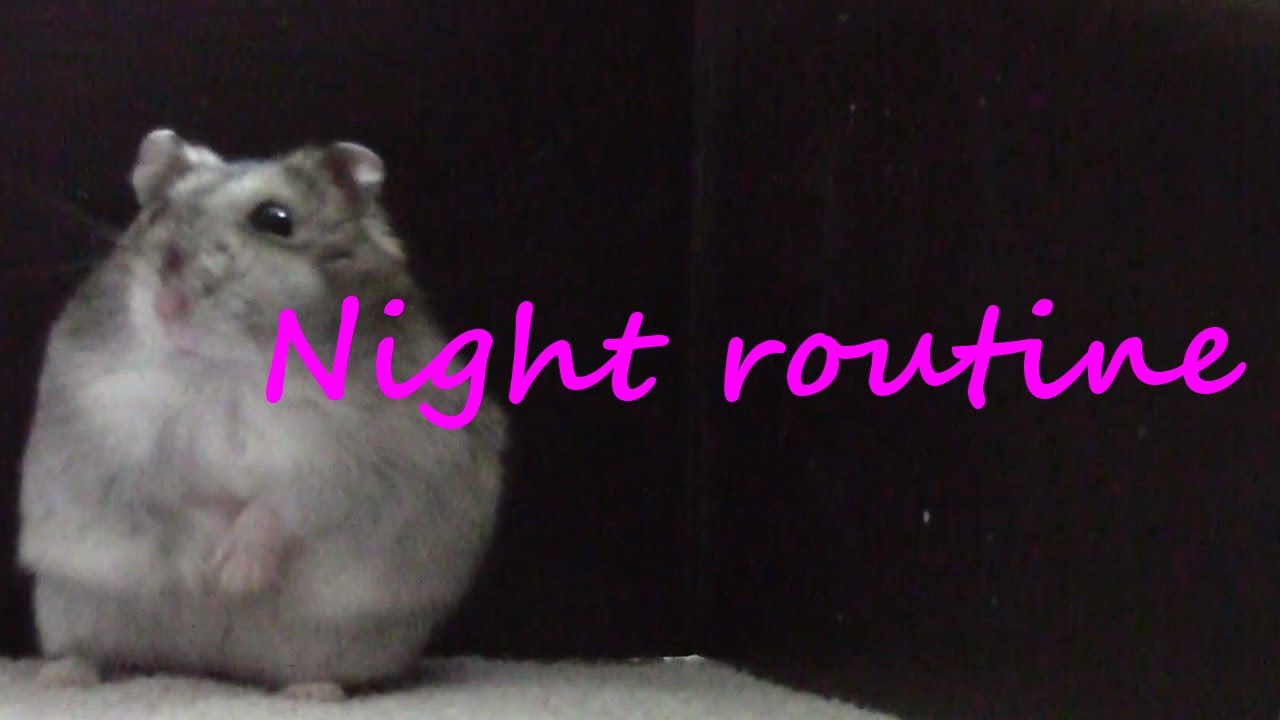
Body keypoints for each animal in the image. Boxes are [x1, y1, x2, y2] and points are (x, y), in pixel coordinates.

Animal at [17, 129, 508, 700]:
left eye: (276, 219)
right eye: (156, 213)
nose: (168, 302)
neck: (226, 367)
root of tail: (208, 663)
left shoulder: (349, 466)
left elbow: (275, 509)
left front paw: (233, 578)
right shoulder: (114, 446)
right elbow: (181, 508)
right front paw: (205, 575)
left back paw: (313, 693)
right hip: (74, 606)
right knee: (90, 648)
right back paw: (62, 679)